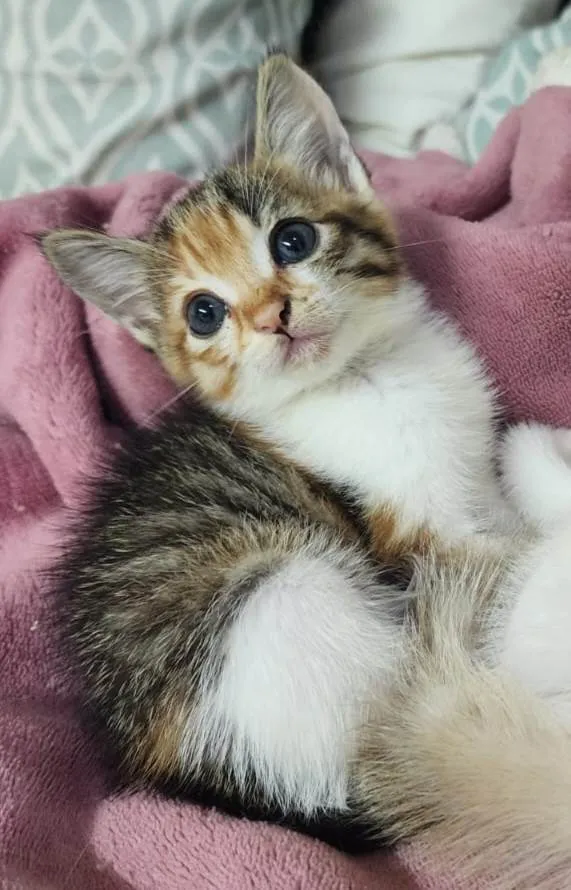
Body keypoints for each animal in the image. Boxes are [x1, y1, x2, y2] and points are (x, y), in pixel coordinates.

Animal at [39, 53, 571, 882]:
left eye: (291, 240)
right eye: (203, 313)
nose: (271, 316)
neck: (368, 376)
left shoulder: (472, 484)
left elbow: (507, 483)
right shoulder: (418, 536)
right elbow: (504, 563)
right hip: (295, 597)